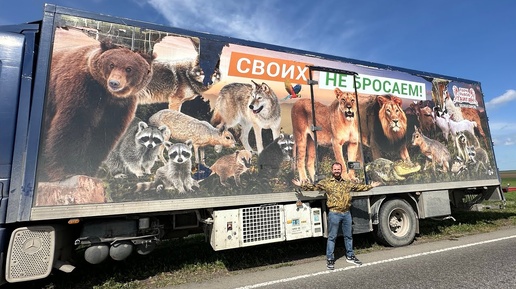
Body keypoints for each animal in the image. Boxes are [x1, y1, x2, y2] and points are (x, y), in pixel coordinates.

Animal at [39, 40, 154, 180]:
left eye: (129, 69)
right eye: (111, 64)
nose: (114, 83)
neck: (107, 94)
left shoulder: (119, 107)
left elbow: (103, 134)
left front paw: (87, 169)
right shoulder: (83, 90)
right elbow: (74, 126)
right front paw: (67, 169)